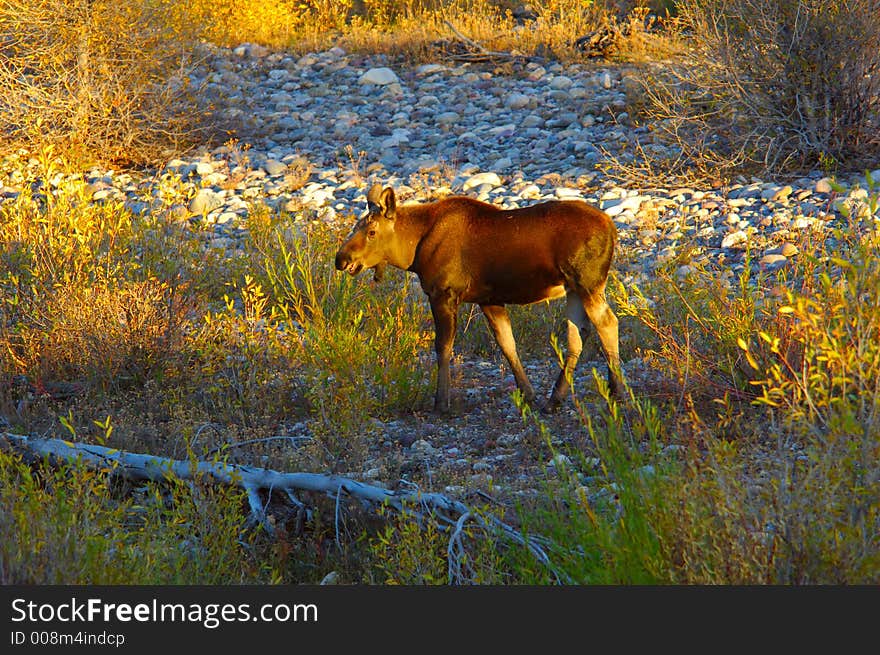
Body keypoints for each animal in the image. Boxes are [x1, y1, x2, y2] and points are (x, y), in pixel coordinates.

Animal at [334, 182, 624, 412]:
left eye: (371, 232)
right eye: (356, 227)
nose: (341, 259)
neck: (413, 251)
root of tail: (612, 228)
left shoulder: (443, 294)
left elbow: (443, 347)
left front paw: (442, 403)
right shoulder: (489, 300)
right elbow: (507, 344)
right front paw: (529, 395)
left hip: (588, 283)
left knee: (608, 323)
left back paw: (618, 391)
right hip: (574, 288)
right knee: (579, 334)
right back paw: (556, 399)